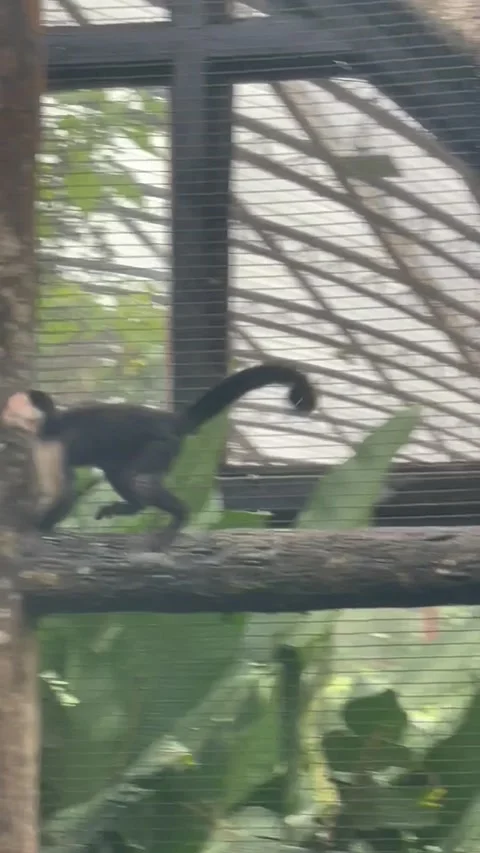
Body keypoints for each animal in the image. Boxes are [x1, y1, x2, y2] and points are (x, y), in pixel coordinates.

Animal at [0, 364, 316, 548]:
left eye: (11, 405)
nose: (4, 410)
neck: (46, 424)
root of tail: (170, 419)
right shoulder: (40, 444)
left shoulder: (50, 444)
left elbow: (63, 492)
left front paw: (37, 526)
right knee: (119, 473)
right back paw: (132, 507)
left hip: (164, 444)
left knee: (139, 479)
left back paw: (179, 517)